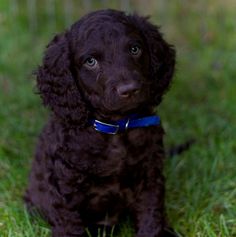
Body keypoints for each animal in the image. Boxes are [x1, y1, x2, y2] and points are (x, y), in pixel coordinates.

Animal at [25, 9, 177, 237]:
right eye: (90, 61)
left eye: (135, 49)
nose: (129, 90)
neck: (117, 127)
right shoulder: (65, 187)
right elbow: (69, 225)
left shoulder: (149, 174)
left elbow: (151, 214)